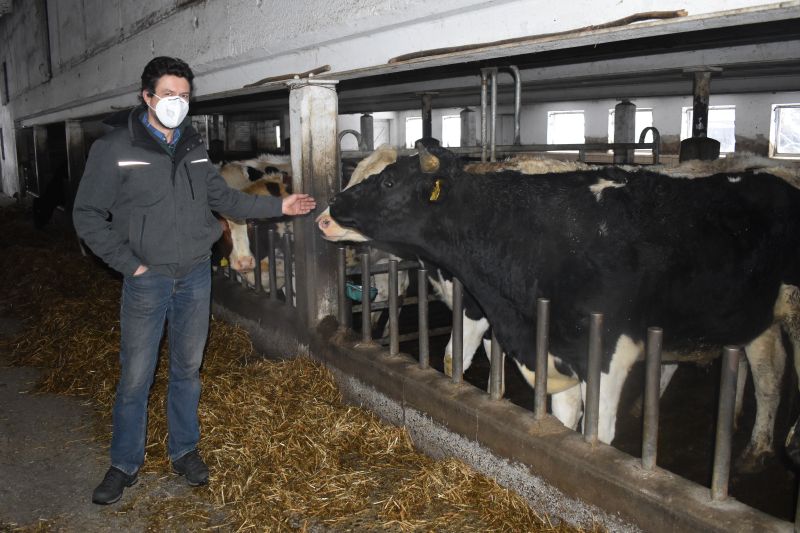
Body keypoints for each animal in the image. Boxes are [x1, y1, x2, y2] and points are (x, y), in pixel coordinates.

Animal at [324, 143, 800, 460]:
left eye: (385, 179)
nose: (324, 214)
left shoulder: (602, 351)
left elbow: (594, 433)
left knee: (771, 372)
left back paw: (764, 448)